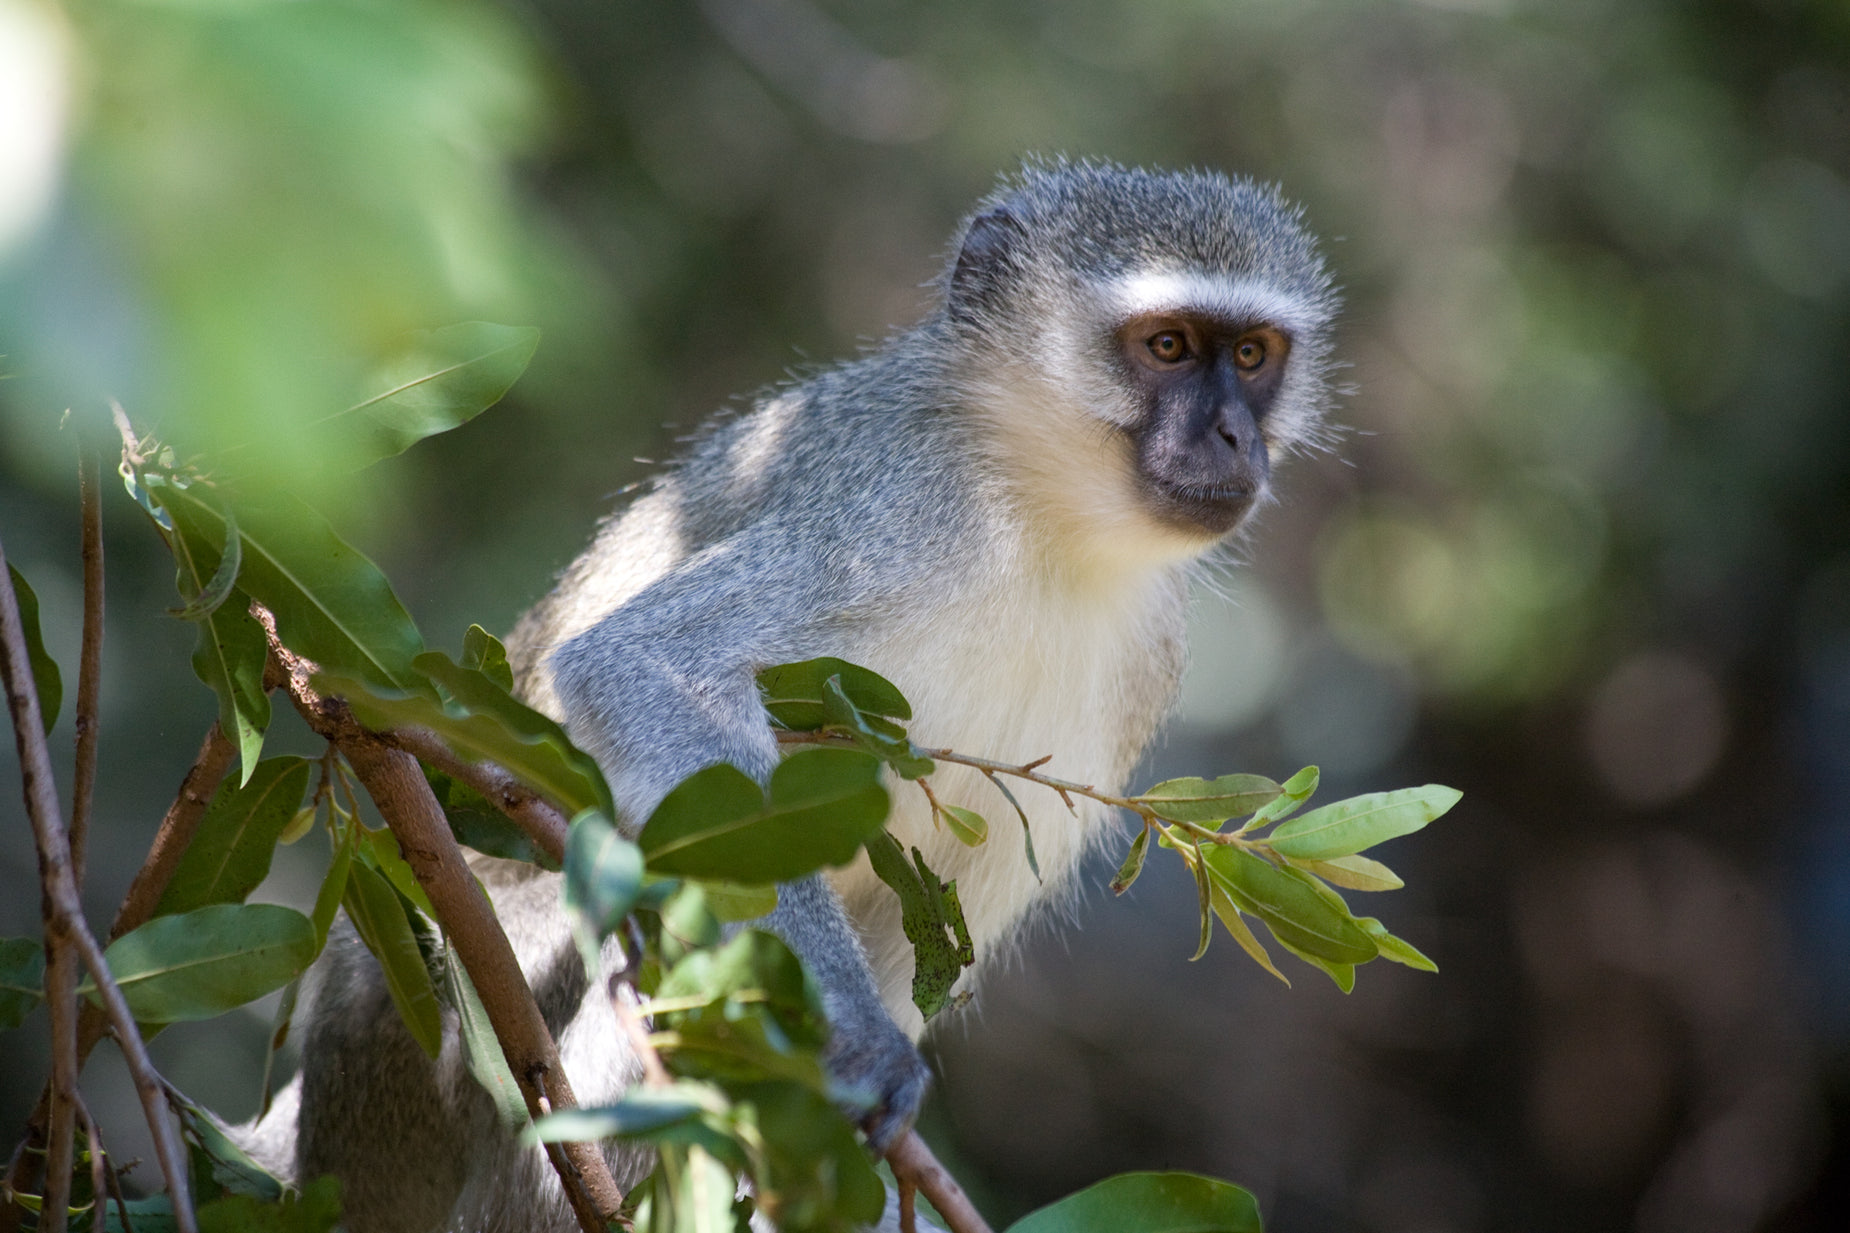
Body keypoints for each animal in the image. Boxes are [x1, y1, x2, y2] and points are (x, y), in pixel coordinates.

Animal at [249, 158, 1346, 1221]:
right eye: (1166, 346)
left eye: (1253, 358)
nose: (1235, 439)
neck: (1045, 520)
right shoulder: (894, 508)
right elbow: (649, 661)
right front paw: (855, 1038)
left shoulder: (1144, 666)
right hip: (438, 1015)